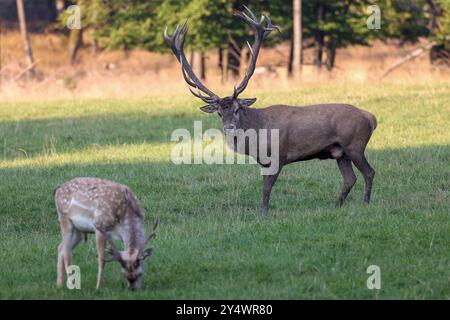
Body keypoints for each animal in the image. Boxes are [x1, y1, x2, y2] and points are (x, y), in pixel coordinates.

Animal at [164, 5, 376, 215]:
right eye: (219, 113)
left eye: (237, 109)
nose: (229, 128)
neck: (257, 138)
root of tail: (371, 118)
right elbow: (265, 186)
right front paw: (263, 211)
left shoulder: (278, 156)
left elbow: (266, 187)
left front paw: (263, 213)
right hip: (340, 152)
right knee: (350, 178)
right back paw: (337, 205)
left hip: (355, 145)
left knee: (369, 172)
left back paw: (366, 203)